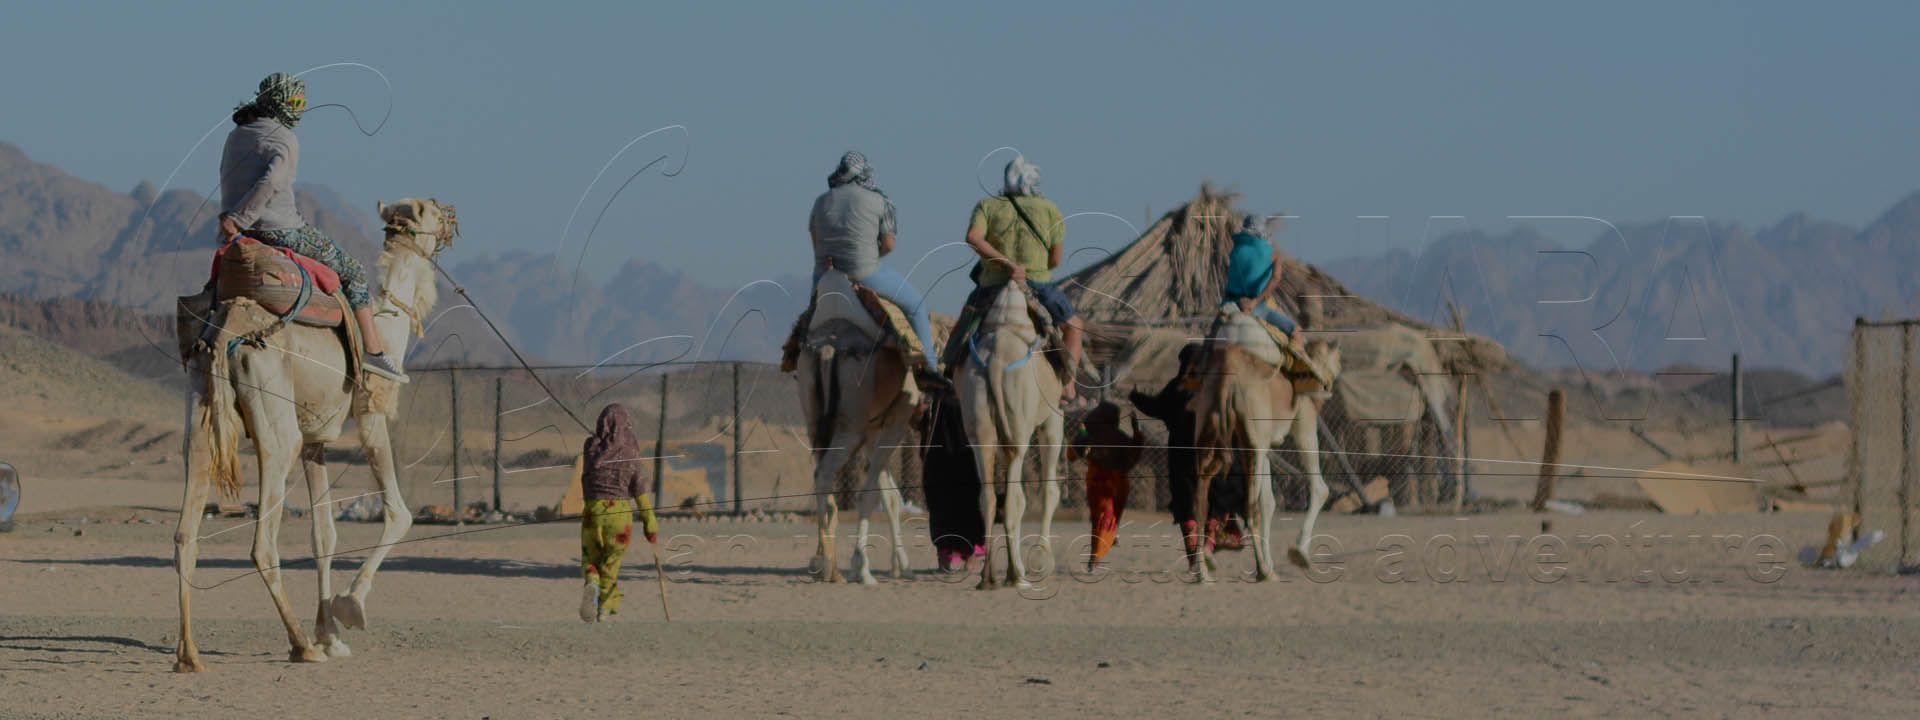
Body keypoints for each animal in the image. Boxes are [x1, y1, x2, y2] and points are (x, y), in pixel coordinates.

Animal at [172, 197, 456, 672]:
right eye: (431, 209)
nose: (453, 219)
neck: (389, 327)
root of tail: (229, 330)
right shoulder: (371, 413)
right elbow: (399, 513)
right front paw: (350, 607)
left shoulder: (315, 440)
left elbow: (324, 533)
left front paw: (331, 636)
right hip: (276, 428)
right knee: (263, 545)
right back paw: (299, 644)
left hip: (200, 417)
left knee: (184, 535)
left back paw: (189, 655)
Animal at [794, 268, 913, 583]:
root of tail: (828, 349)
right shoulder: (896, 420)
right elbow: (871, 495)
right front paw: (865, 567)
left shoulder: (874, 430)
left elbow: (889, 495)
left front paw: (899, 566)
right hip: (850, 428)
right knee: (824, 474)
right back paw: (831, 567)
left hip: (814, 418)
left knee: (818, 474)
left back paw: (824, 563)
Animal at [956, 282, 1075, 591]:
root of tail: (996, 362)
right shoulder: (1053, 418)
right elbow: (1049, 490)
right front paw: (1040, 561)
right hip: (1021, 424)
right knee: (1014, 499)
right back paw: (1014, 576)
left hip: (980, 422)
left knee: (989, 496)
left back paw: (988, 578)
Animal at [1190, 305, 1344, 587]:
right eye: (1339, 360)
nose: (1329, 385)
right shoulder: (1304, 421)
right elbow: (1319, 488)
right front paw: (1298, 554)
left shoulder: (1266, 444)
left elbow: (1269, 501)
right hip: (1253, 435)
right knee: (1250, 507)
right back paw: (1263, 571)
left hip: (1210, 427)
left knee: (1201, 501)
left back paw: (1203, 572)